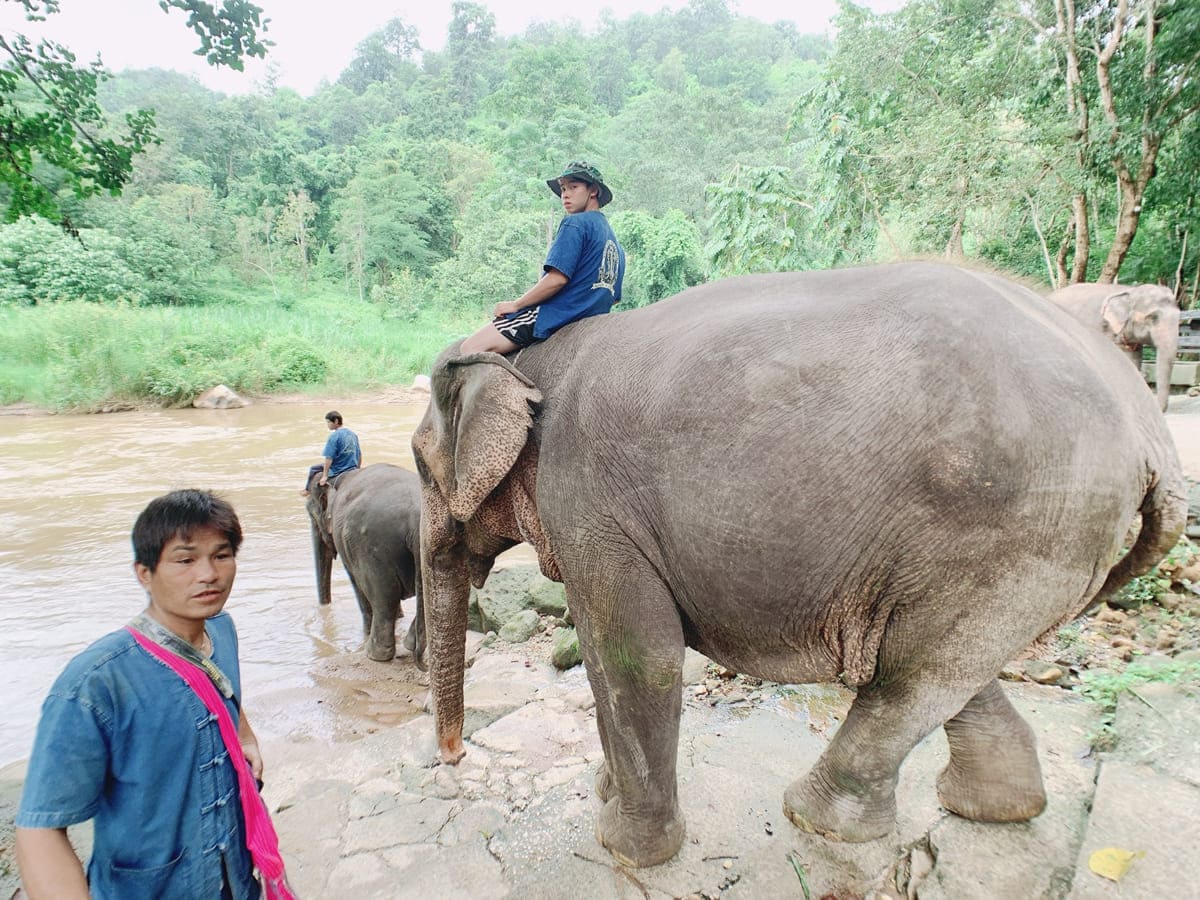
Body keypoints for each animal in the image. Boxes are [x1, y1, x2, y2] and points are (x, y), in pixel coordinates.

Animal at [304, 465, 427, 662]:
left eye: (310, 513)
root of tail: (415, 518)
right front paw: (400, 617)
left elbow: (357, 584)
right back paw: (410, 644)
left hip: (374, 548)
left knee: (383, 597)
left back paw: (373, 654)